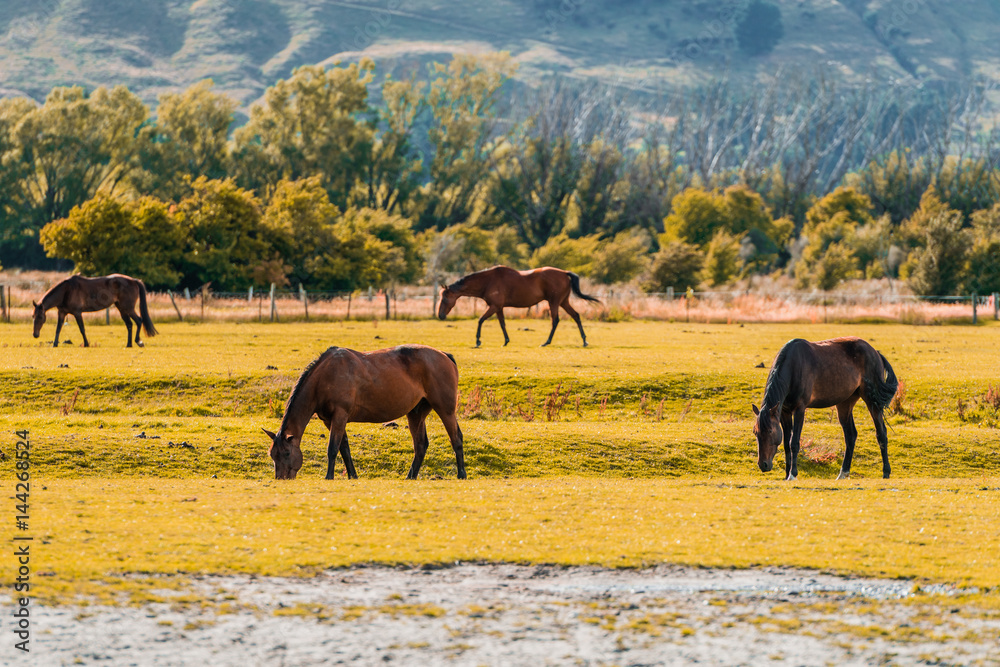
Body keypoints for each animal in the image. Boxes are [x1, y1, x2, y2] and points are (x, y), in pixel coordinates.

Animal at [266, 348, 468, 482]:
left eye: (286, 452)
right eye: (272, 455)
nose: (281, 478)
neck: (325, 376)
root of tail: (446, 356)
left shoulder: (340, 415)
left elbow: (333, 448)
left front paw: (329, 476)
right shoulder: (330, 420)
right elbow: (344, 448)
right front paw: (352, 475)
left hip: (445, 409)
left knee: (456, 438)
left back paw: (461, 474)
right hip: (416, 413)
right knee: (420, 445)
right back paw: (410, 476)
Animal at [438, 266, 600, 350]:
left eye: (445, 298)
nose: (440, 315)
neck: (488, 281)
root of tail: (565, 273)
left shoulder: (494, 306)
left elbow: (480, 320)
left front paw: (478, 341)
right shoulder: (499, 307)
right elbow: (502, 324)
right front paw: (506, 340)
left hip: (554, 302)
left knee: (555, 320)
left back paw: (547, 341)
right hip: (563, 302)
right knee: (576, 316)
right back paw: (584, 340)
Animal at [752, 340, 900, 480]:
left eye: (769, 431)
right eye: (755, 432)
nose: (763, 465)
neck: (793, 367)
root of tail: (875, 352)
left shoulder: (800, 409)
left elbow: (794, 443)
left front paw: (792, 475)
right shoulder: (784, 412)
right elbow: (787, 445)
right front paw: (786, 475)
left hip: (871, 400)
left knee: (881, 433)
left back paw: (886, 472)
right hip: (845, 403)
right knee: (850, 435)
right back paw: (843, 473)